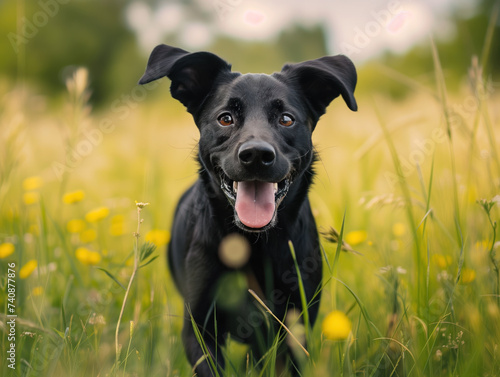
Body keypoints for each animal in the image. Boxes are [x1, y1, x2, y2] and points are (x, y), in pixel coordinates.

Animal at [139, 45, 358, 374]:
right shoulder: (200, 330)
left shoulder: (295, 327)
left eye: (286, 119)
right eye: (225, 118)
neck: (254, 243)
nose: (256, 154)